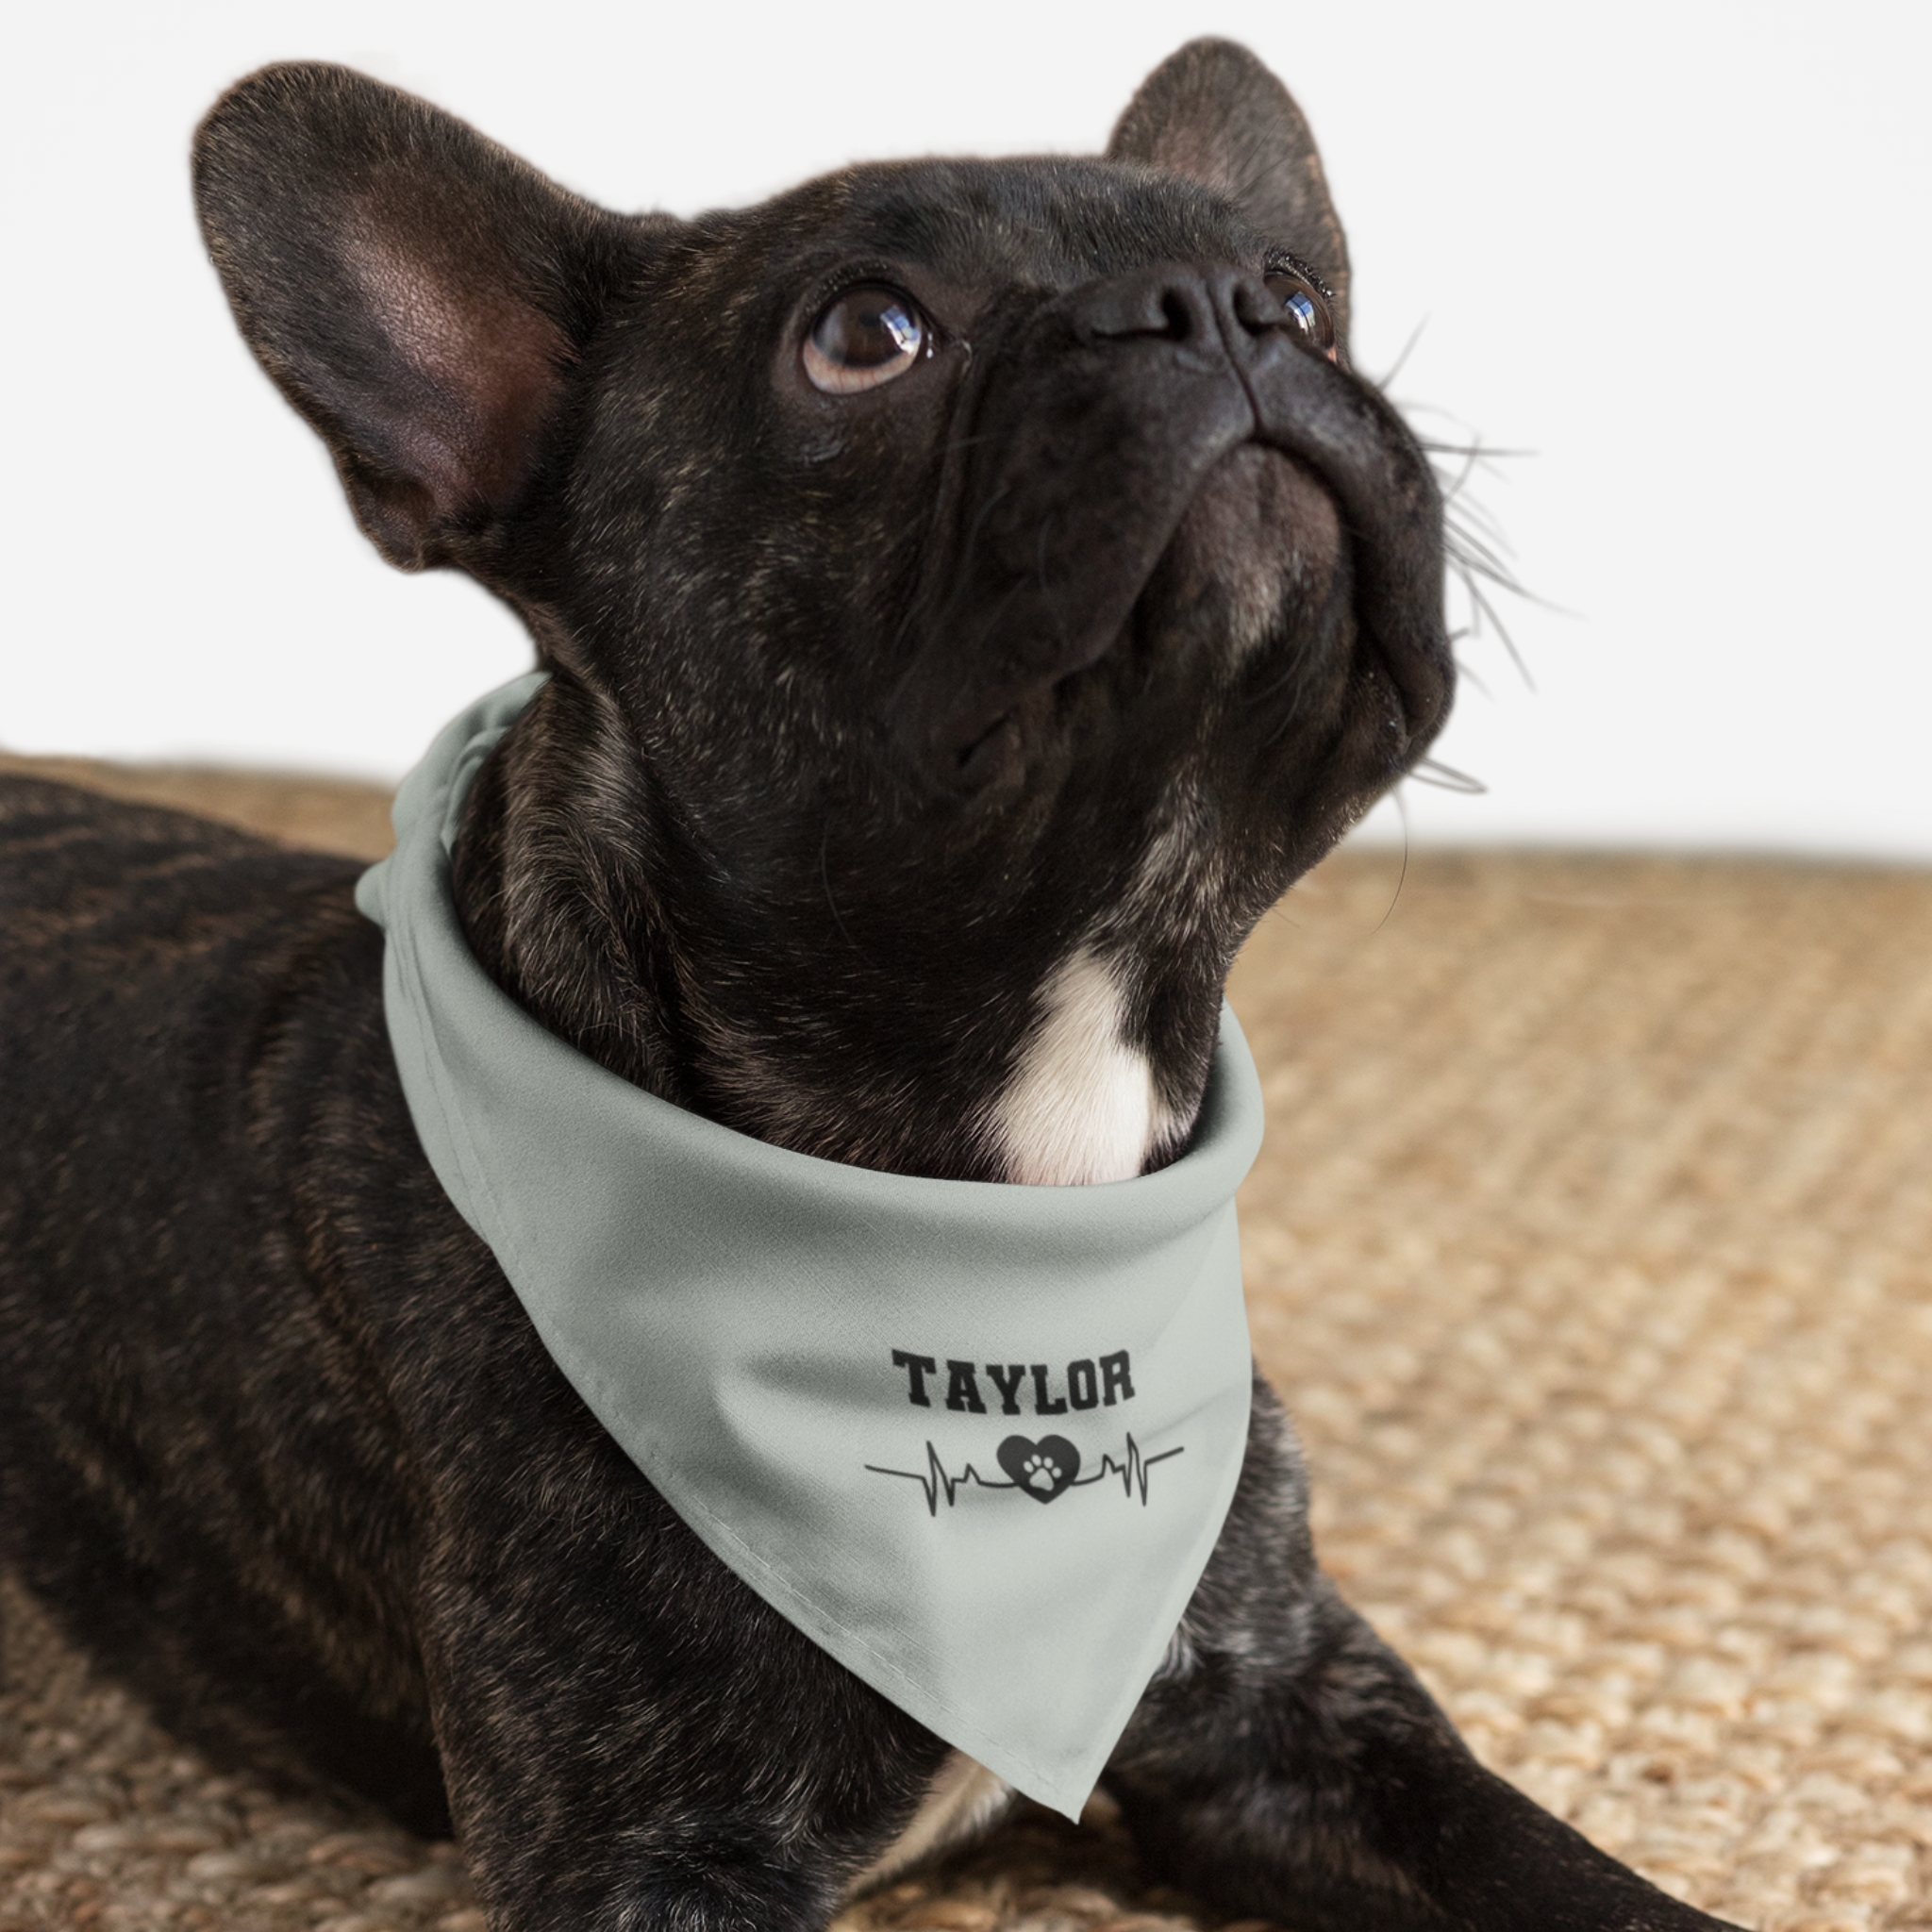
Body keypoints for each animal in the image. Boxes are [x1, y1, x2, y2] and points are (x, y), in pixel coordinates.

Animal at [0, 34, 1746, 1932]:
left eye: (1298, 296)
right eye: (864, 335)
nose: (1217, 309)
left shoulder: (1298, 1717)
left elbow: (1578, 1878)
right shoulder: (651, 1862)